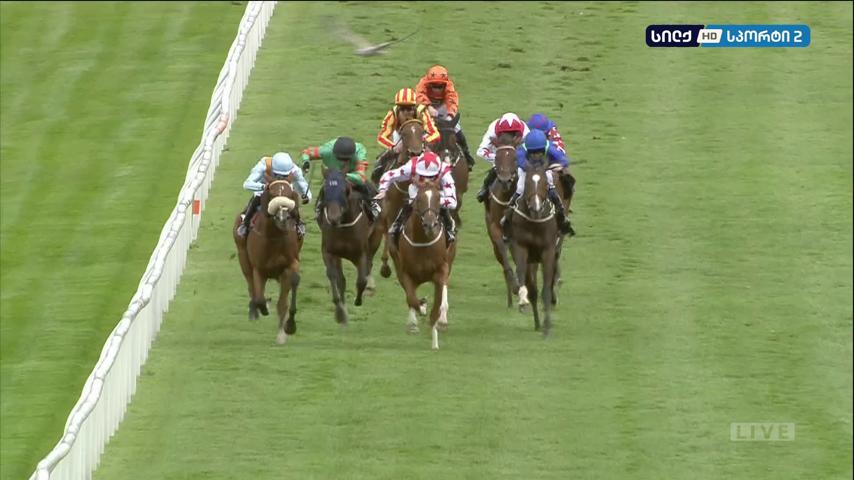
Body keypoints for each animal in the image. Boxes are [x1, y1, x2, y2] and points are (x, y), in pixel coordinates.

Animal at [233, 179, 303, 345]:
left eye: (289, 194)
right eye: (272, 194)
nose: (283, 217)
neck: (274, 238)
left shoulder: (289, 265)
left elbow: (284, 301)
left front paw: (286, 329)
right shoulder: (259, 269)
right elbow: (259, 298)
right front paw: (263, 307)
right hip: (242, 256)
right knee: (251, 286)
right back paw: (254, 310)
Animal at [318, 168, 383, 325]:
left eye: (345, 190)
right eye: (325, 190)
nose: (333, 217)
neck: (343, 224)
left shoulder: (361, 253)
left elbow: (361, 280)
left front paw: (358, 300)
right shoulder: (329, 252)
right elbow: (335, 277)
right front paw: (340, 311)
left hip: (376, 239)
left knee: (369, 265)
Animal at [388, 178, 456, 350]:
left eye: (439, 198)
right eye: (418, 199)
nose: (430, 225)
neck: (423, 241)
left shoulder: (441, 271)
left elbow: (437, 303)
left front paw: (435, 334)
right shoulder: (405, 272)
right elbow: (412, 298)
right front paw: (421, 310)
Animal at [508, 161, 560, 337]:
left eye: (545, 183)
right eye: (528, 184)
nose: (536, 207)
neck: (535, 221)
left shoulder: (548, 251)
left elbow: (546, 289)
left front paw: (547, 327)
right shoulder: (520, 247)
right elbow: (522, 274)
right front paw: (522, 300)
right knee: (533, 289)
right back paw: (536, 322)